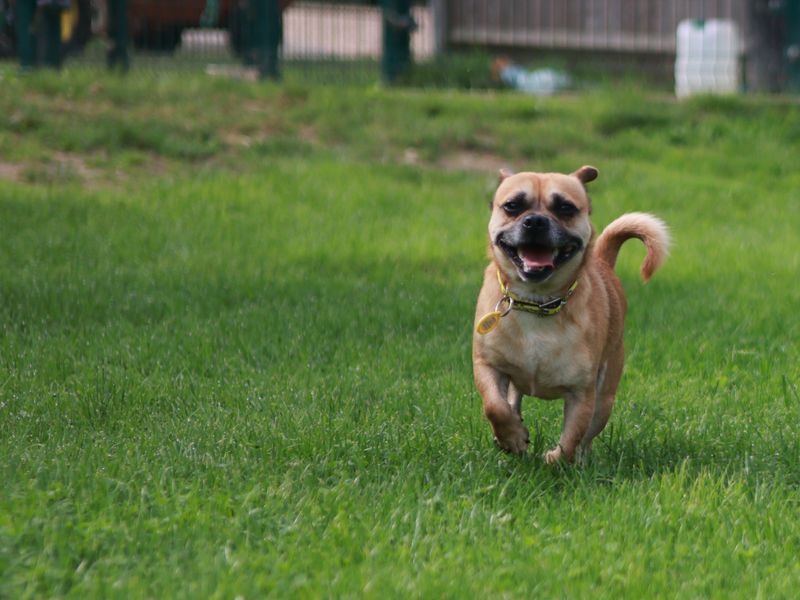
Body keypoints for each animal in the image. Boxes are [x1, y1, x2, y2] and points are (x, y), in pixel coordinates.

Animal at [468, 166, 668, 462]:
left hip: (604, 397)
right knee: (512, 400)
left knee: (587, 436)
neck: (537, 301)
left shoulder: (582, 392)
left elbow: (573, 436)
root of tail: (603, 262)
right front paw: (512, 437)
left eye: (565, 208)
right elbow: (495, 406)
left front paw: (555, 459)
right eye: (512, 206)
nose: (536, 221)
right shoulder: (488, 365)